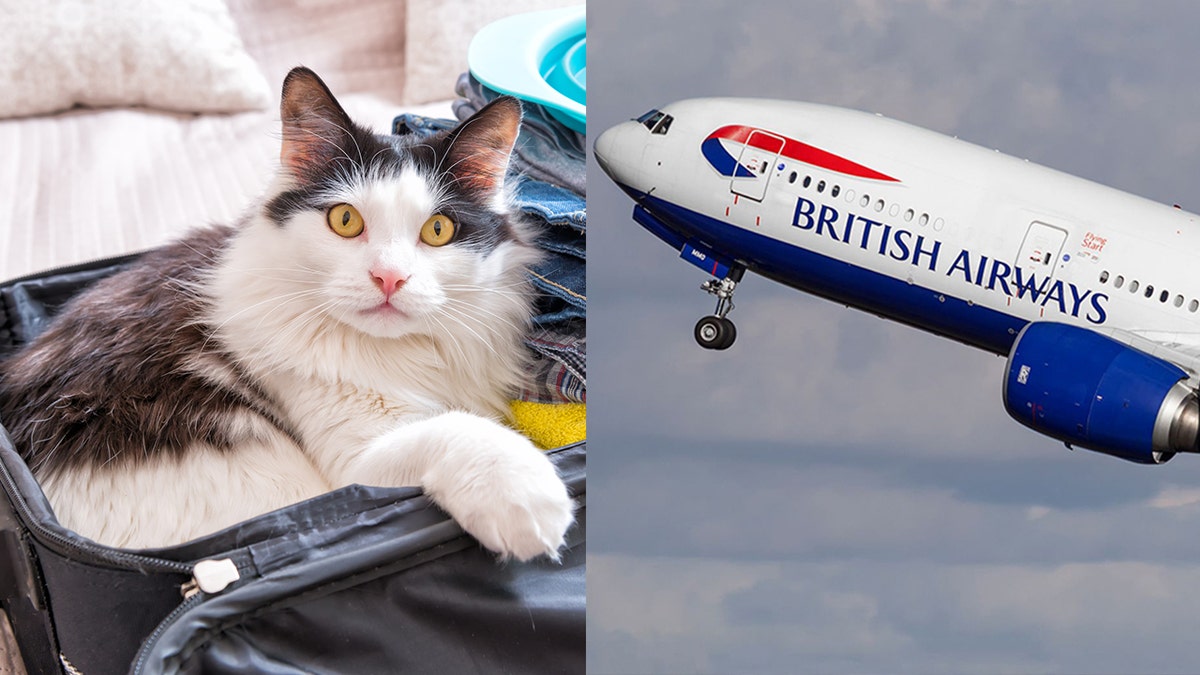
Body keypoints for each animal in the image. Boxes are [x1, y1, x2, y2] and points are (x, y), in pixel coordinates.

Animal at [0, 65, 576, 559]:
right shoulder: (356, 465)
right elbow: (459, 430)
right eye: (345, 221)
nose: (389, 278)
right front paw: (528, 496)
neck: (398, 354)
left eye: (438, 230)